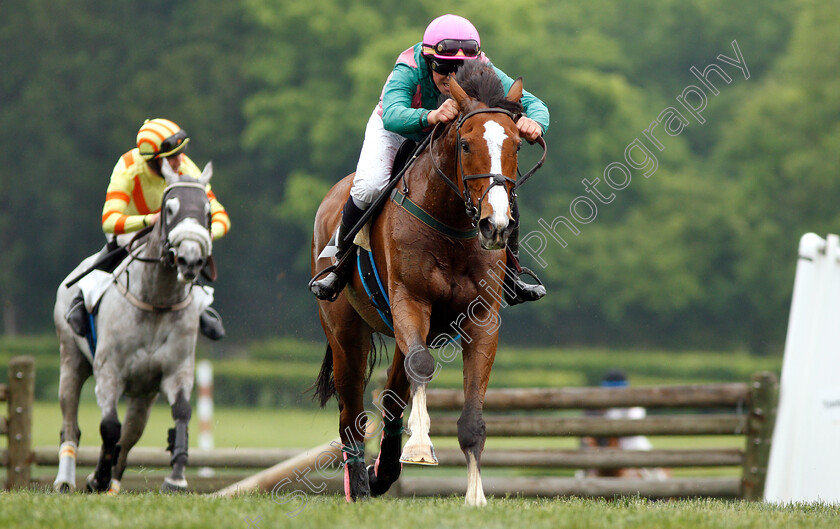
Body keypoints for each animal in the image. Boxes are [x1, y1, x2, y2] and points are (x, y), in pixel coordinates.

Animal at [53, 160, 217, 490]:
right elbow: (109, 426)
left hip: (144, 393)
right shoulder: (108, 371)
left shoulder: (176, 371)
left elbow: (181, 413)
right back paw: (65, 480)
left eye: (207, 211)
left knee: (130, 436)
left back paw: (113, 485)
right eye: (170, 208)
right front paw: (97, 477)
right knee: (71, 423)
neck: (157, 300)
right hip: (71, 360)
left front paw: (176, 478)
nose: (190, 259)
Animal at [310, 59, 544, 506]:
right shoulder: (410, 302)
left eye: (517, 147)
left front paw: (476, 496)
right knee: (351, 413)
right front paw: (419, 448)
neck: (452, 224)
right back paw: (360, 486)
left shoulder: (482, 321)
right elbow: (422, 365)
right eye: (465, 144)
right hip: (346, 332)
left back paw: (383, 472)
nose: (496, 225)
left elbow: (472, 420)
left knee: (391, 395)